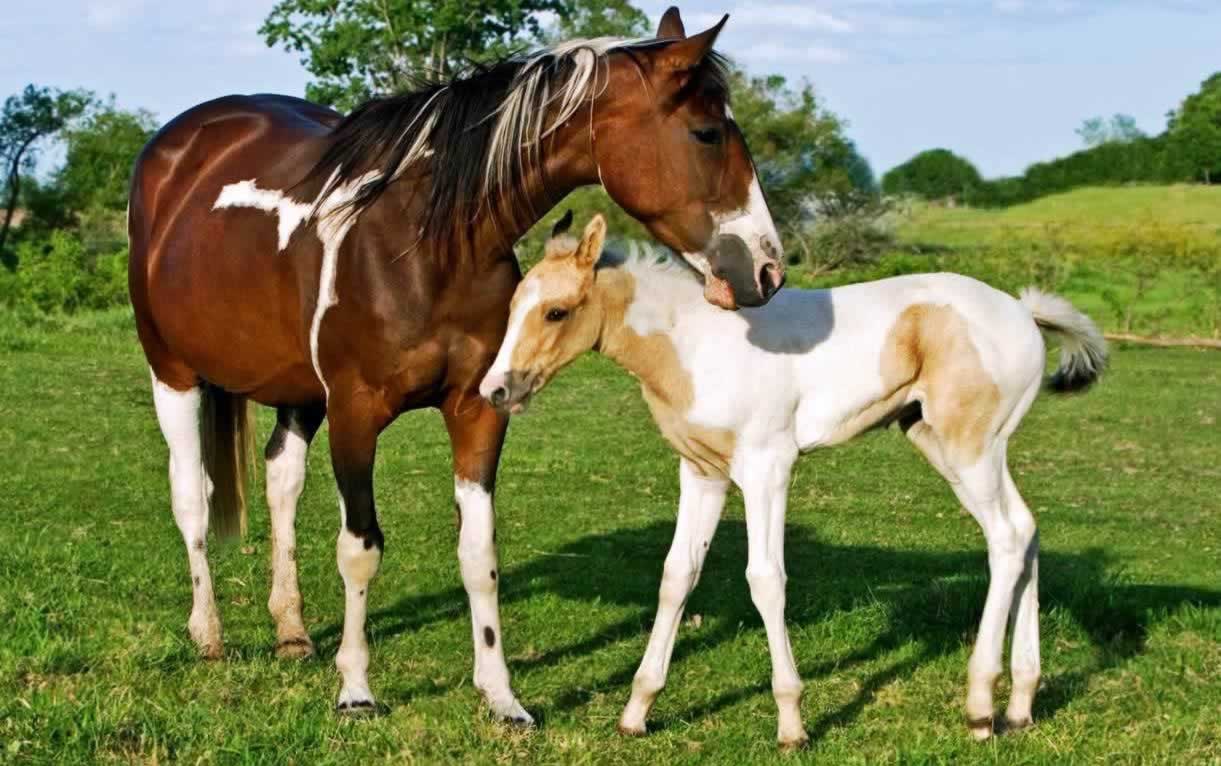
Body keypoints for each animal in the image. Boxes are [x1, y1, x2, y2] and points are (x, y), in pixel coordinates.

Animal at [483, 213, 1108, 742]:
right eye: (511, 307)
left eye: (556, 312)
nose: (495, 390)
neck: (696, 345)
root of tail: (1024, 312)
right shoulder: (702, 473)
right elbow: (677, 575)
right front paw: (637, 711)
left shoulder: (766, 468)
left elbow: (766, 579)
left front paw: (792, 723)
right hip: (952, 446)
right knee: (1026, 532)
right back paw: (1021, 704)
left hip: (970, 448)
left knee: (1006, 539)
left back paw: (981, 708)